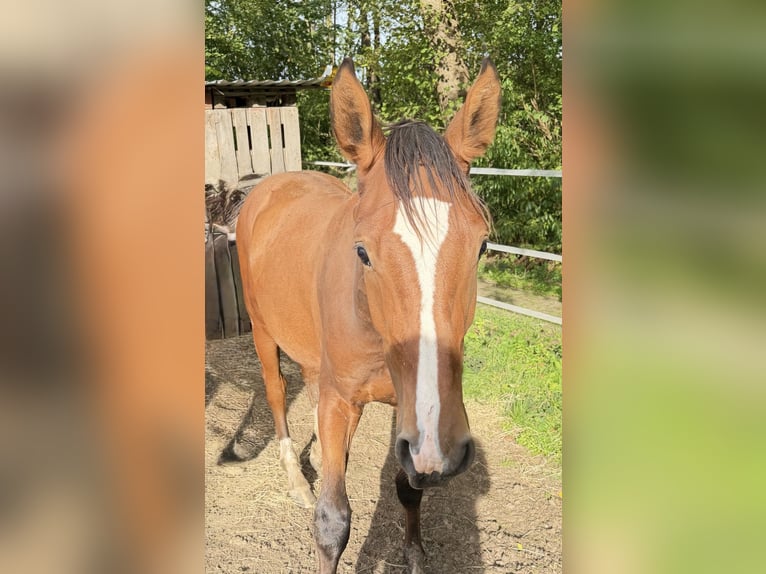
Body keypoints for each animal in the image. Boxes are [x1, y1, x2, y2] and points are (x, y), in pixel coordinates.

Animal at [235, 57, 501, 573]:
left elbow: (409, 488)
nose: (445, 445)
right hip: (261, 331)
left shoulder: (407, 410)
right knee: (277, 395)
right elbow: (332, 521)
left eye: (480, 246)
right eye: (362, 251)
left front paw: (415, 554)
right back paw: (295, 476)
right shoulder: (345, 400)